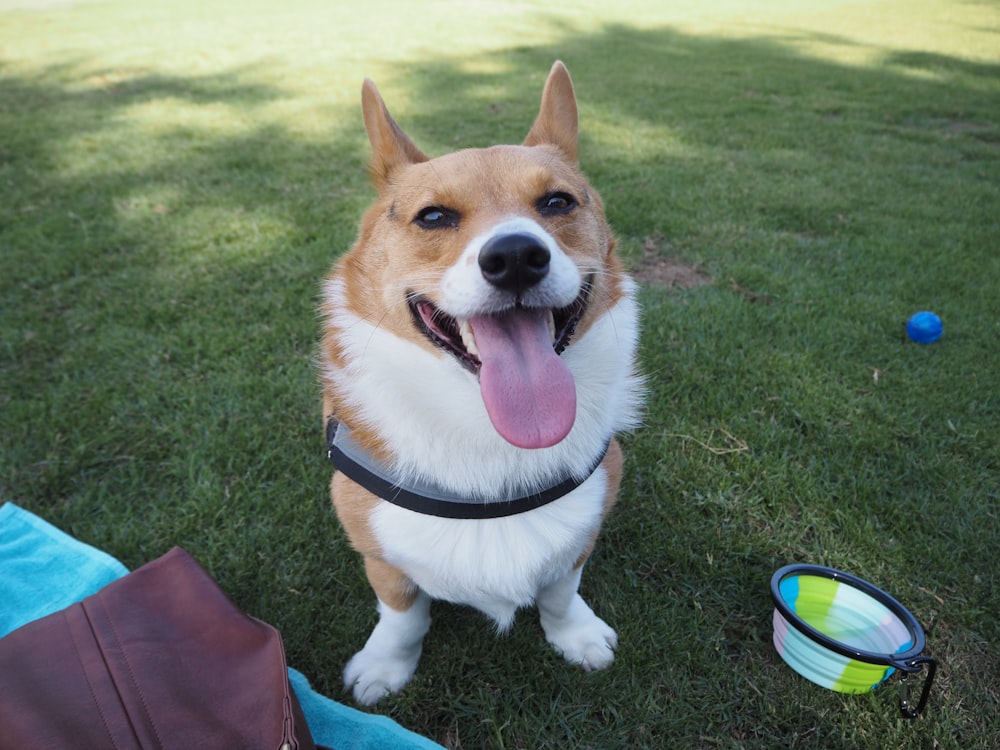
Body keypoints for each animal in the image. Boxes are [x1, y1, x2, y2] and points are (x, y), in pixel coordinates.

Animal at [324, 61, 644, 708]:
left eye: (557, 202)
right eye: (433, 216)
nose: (517, 256)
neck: (491, 439)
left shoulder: (585, 525)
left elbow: (560, 591)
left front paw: (576, 637)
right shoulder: (378, 550)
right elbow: (402, 615)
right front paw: (385, 668)